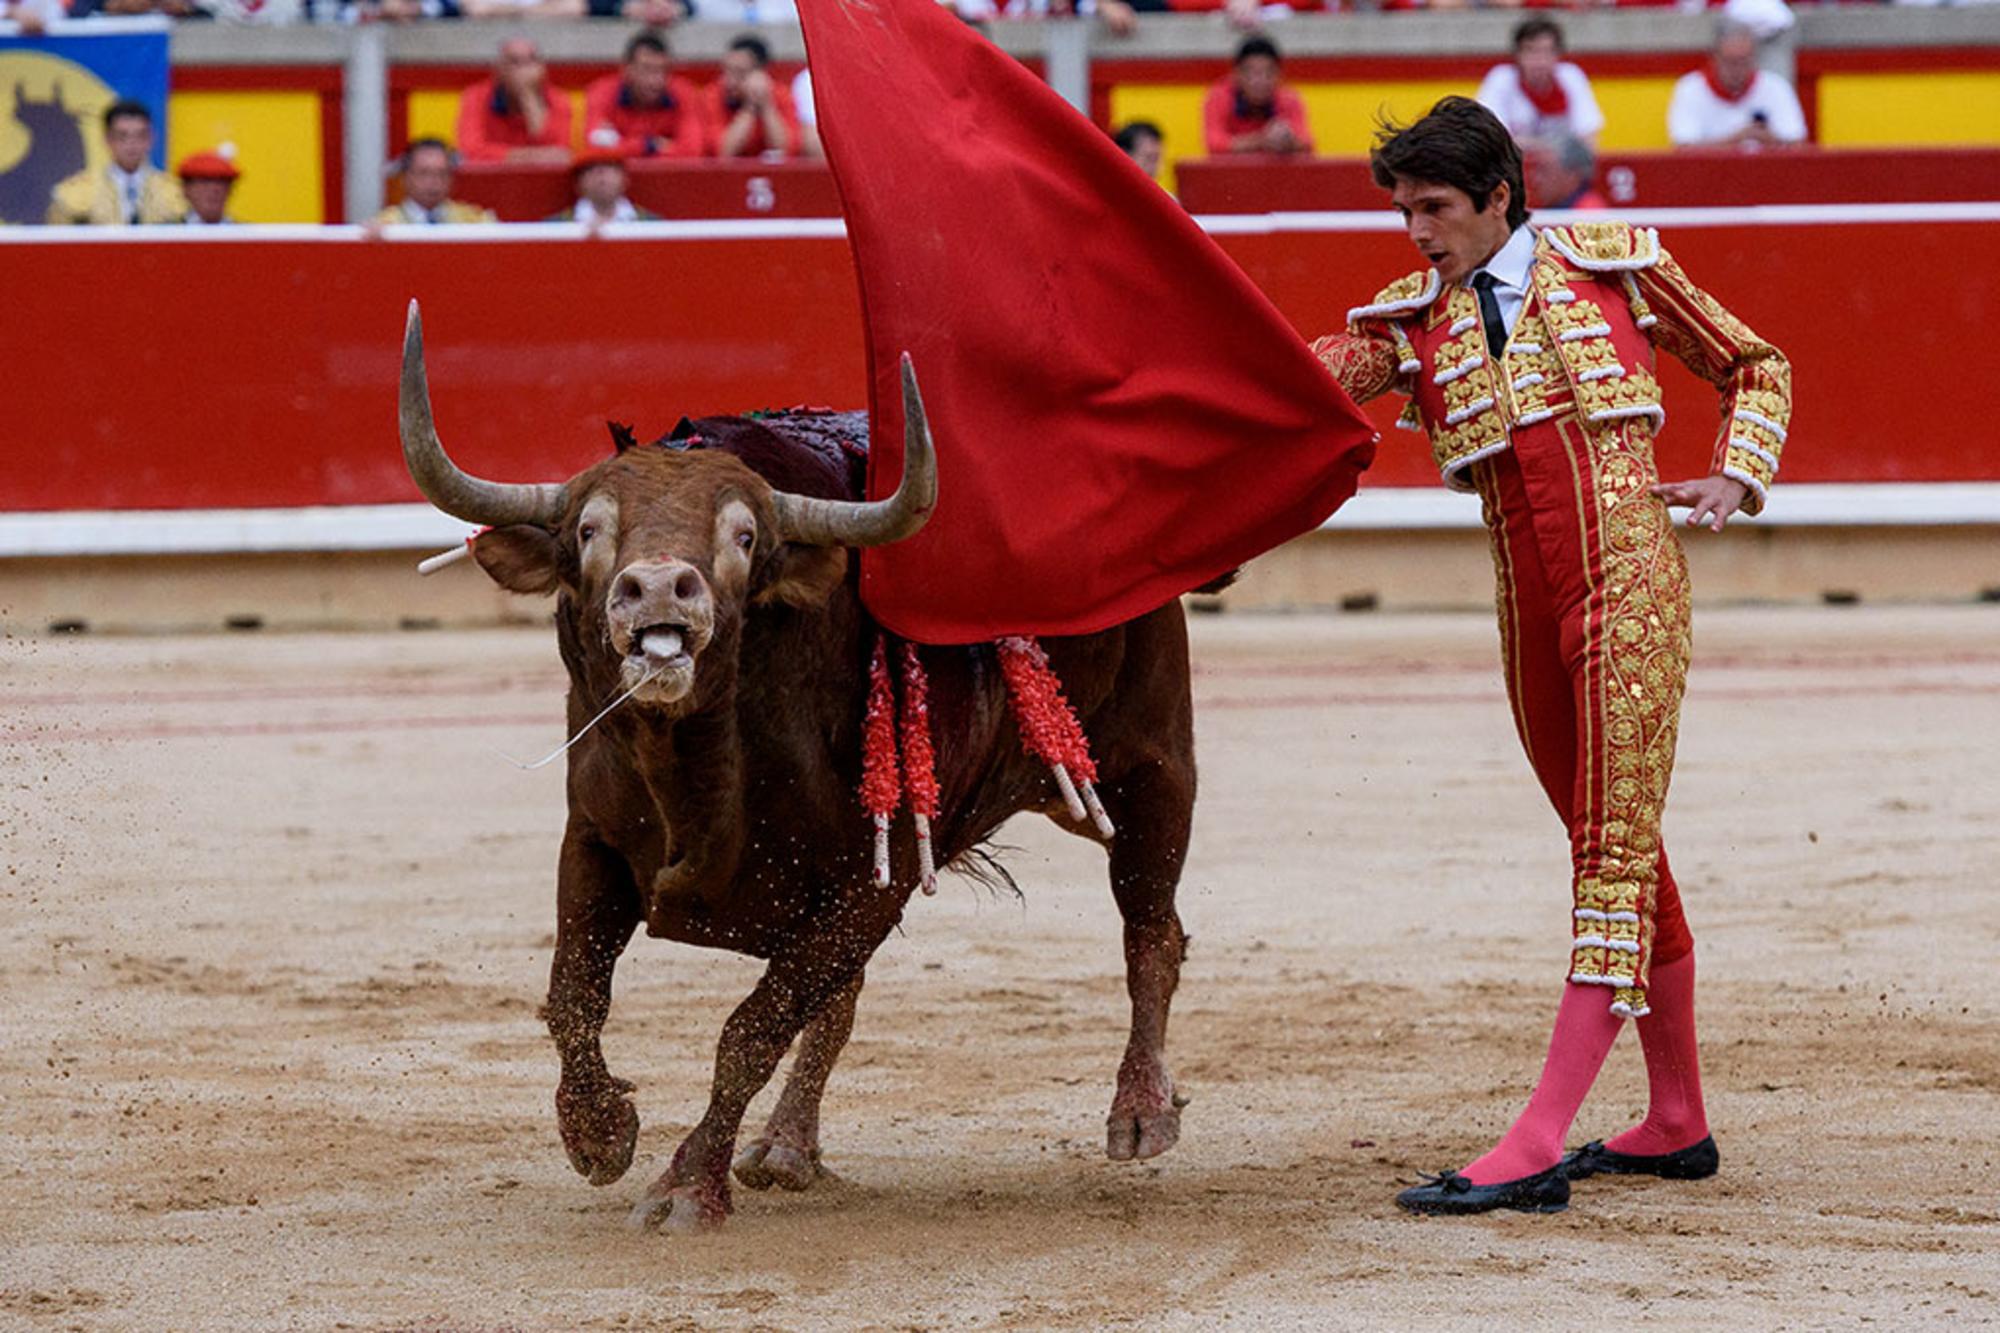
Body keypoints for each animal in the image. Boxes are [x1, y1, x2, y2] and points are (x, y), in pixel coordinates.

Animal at [398, 306, 1192, 1232]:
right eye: (590, 529)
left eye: (744, 536)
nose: (660, 589)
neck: (696, 762)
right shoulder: (592, 839)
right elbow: (576, 995)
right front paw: (598, 1133)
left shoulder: (875, 878)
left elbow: (753, 1028)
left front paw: (684, 1186)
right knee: (841, 1001)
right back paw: (785, 1147)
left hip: (1152, 766)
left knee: (1151, 926)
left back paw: (1141, 1112)